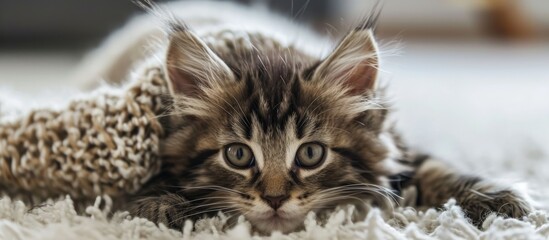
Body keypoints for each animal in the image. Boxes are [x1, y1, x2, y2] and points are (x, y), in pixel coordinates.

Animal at [122, 2, 528, 234]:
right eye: (238, 155)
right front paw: (159, 204)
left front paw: (495, 197)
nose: (274, 200)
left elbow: (435, 167)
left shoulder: (396, 145)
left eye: (310, 154)